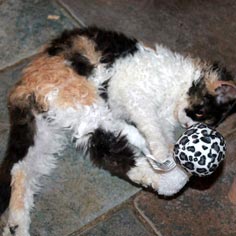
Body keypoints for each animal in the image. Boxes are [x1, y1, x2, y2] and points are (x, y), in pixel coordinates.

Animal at [0, 26, 236, 235]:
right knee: (115, 142)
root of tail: (25, 84)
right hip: (83, 102)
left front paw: (164, 151)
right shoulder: (137, 97)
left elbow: (156, 134)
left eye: (202, 120)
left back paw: (16, 226)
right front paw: (164, 154)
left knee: (21, 169)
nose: (188, 126)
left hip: (50, 131)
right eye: (201, 113)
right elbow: (153, 131)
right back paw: (167, 171)